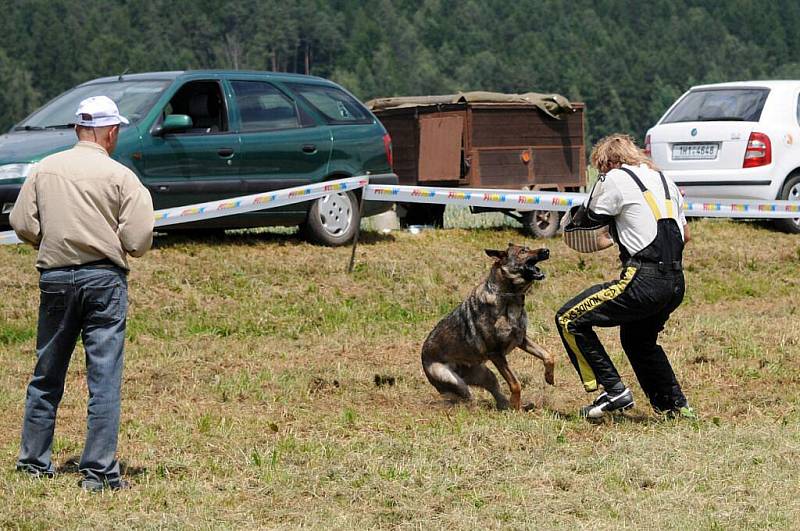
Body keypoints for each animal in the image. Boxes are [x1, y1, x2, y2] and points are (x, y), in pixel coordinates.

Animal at [422, 245, 552, 412]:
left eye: (528, 247)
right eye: (523, 251)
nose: (547, 250)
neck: (508, 296)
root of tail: (423, 356)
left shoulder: (521, 339)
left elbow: (547, 355)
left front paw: (549, 376)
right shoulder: (496, 354)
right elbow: (515, 384)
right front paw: (516, 408)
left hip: (486, 375)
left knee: (497, 395)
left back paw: (513, 407)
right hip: (456, 383)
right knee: (467, 400)